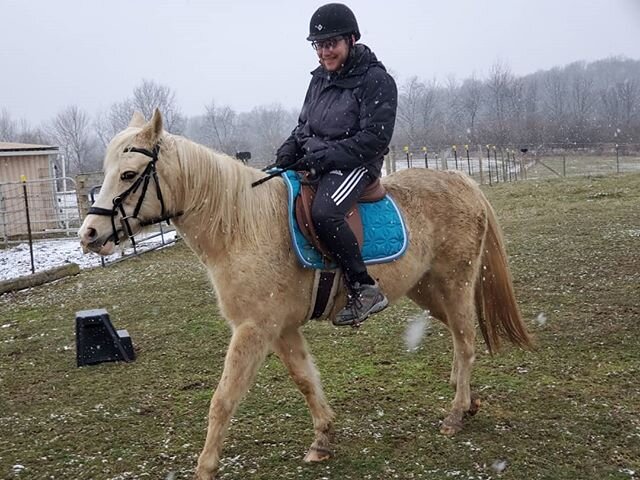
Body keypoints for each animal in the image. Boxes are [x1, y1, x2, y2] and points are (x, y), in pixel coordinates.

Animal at [77, 110, 532, 480]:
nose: (89, 234)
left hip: (455, 282)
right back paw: (467, 401)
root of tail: (463, 181)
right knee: (458, 335)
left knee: (466, 340)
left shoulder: (253, 328)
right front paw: (323, 438)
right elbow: (305, 380)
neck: (242, 227)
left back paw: (455, 413)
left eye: (129, 175)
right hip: (426, 290)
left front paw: (205, 467)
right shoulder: (279, 329)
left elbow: (223, 398)